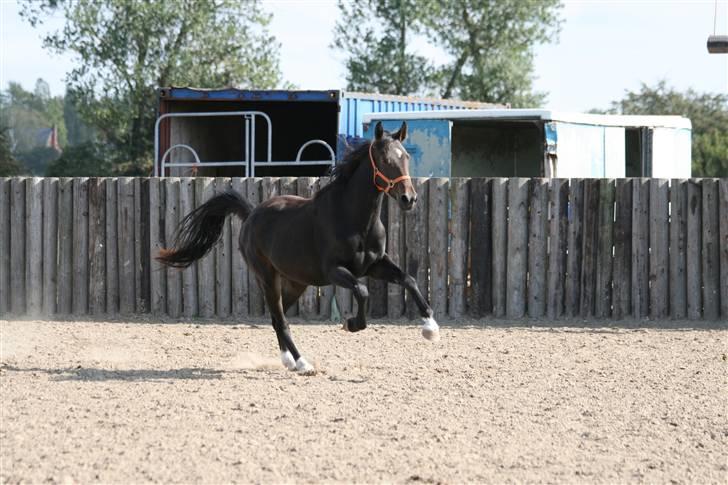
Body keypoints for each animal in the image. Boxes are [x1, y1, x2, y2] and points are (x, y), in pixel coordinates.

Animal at [158, 122, 438, 374]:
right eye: (384, 158)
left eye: (406, 157)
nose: (409, 199)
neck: (355, 218)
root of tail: (251, 215)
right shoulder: (336, 271)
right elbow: (362, 291)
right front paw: (351, 324)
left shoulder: (375, 265)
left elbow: (409, 279)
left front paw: (430, 328)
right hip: (268, 278)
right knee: (280, 320)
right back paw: (303, 364)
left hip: (295, 283)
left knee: (276, 319)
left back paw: (289, 361)